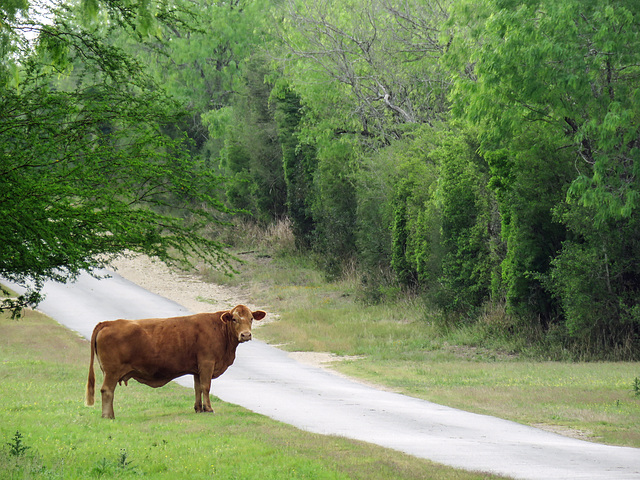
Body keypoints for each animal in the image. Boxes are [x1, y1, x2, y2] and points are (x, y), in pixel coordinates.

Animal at [85, 306, 264, 418]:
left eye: (251, 318)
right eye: (234, 319)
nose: (246, 335)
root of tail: (109, 322)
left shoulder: (197, 368)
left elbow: (198, 388)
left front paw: (199, 409)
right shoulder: (207, 362)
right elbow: (206, 387)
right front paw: (209, 409)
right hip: (112, 371)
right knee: (107, 390)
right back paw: (108, 416)